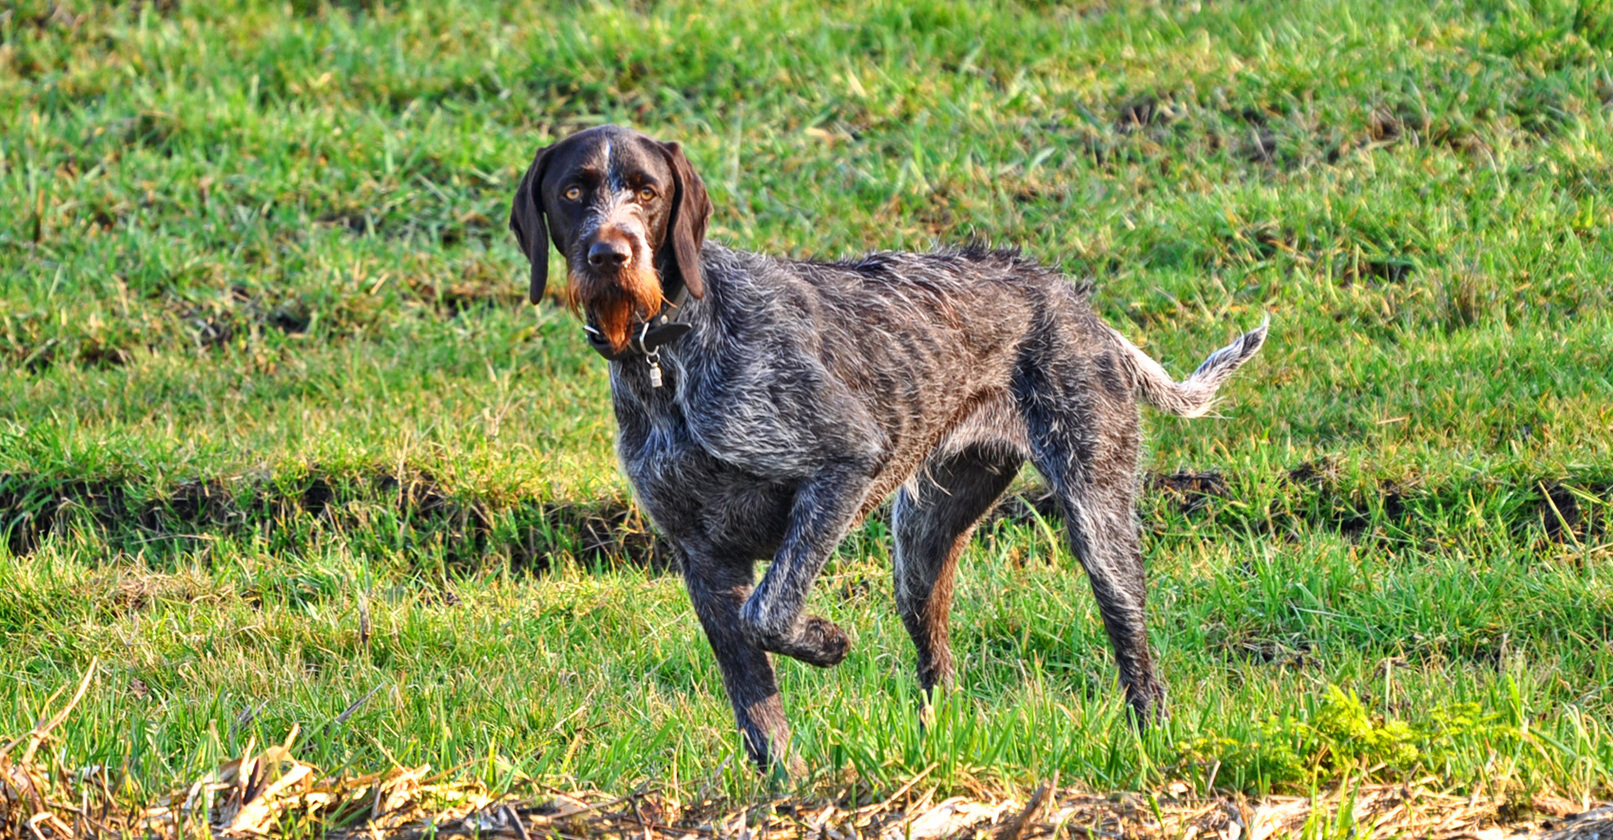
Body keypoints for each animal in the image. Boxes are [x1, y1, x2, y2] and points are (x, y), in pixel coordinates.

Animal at [509, 124, 1264, 773]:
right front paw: (788, 794)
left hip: (1097, 522)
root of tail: (1070, 299)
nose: (611, 254)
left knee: (1136, 660)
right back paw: (935, 751)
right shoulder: (703, 559)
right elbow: (758, 709)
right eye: (573, 192)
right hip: (920, 552)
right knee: (939, 670)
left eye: (646, 191)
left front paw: (825, 641)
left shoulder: (842, 464)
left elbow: (769, 613)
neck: (665, 353)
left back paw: (1150, 743)